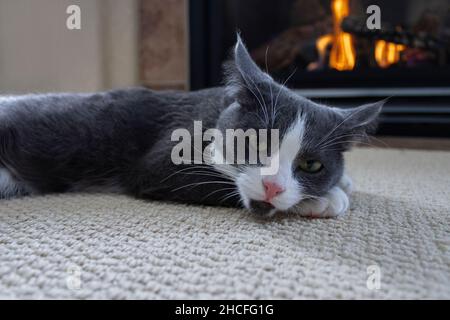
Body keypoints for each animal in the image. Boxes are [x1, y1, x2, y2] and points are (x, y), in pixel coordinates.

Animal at [0, 36, 384, 219]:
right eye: (256, 143)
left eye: (311, 165)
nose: (273, 186)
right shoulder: (162, 154)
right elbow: (209, 180)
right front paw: (324, 199)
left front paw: (341, 183)